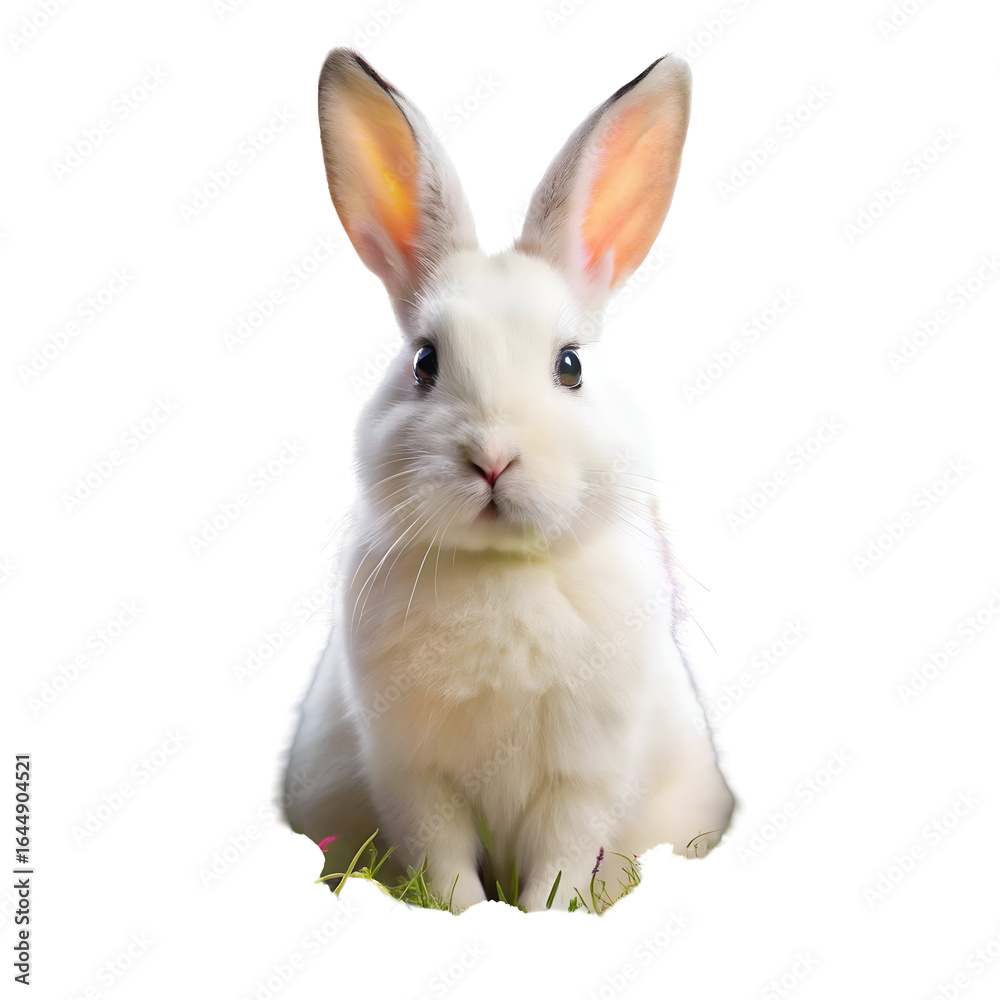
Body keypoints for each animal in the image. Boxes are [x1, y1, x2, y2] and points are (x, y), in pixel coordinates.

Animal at [283, 46, 735, 913]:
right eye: (424, 363)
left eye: (571, 366)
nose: (492, 459)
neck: (502, 571)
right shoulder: (413, 777)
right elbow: (444, 863)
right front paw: (466, 917)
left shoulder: (584, 777)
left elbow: (561, 860)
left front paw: (543, 918)